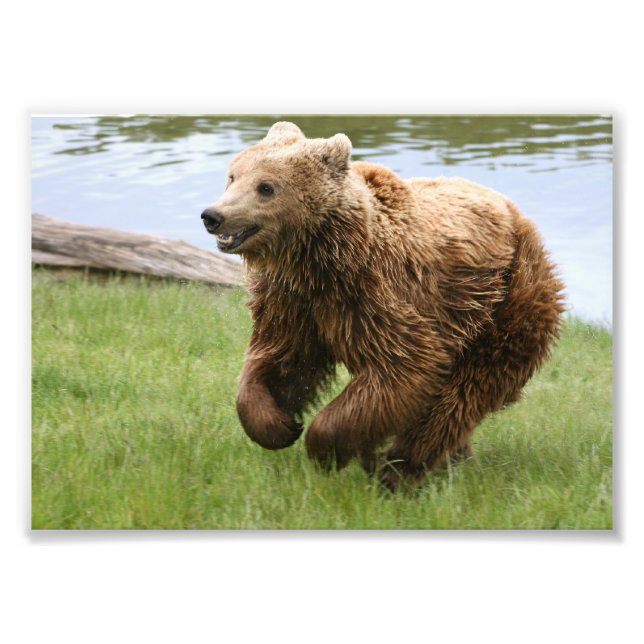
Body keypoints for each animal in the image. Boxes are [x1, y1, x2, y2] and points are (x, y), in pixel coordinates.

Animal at [200, 121, 566, 491]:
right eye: (233, 176)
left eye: (266, 187)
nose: (213, 215)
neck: (319, 260)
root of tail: (517, 214)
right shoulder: (291, 302)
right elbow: (282, 359)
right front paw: (280, 426)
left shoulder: (379, 295)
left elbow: (404, 368)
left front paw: (324, 448)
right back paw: (450, 460)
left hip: (504, 300)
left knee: (464, 392)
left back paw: (398, 469)